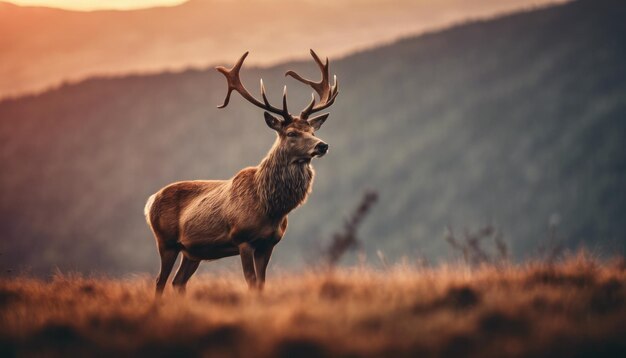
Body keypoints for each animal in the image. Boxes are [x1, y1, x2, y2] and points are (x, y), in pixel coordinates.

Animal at [144, 51, 338, 296]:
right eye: (292, 133)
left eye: (312, 131)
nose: (322, 145)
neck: (271, 207)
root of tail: (150, 201)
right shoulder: (243, 239)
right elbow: (251, 281)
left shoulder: (268, 244)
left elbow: (262, 283)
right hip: (166, 241)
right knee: (159, 281)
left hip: (192, 251)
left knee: (178, 282)